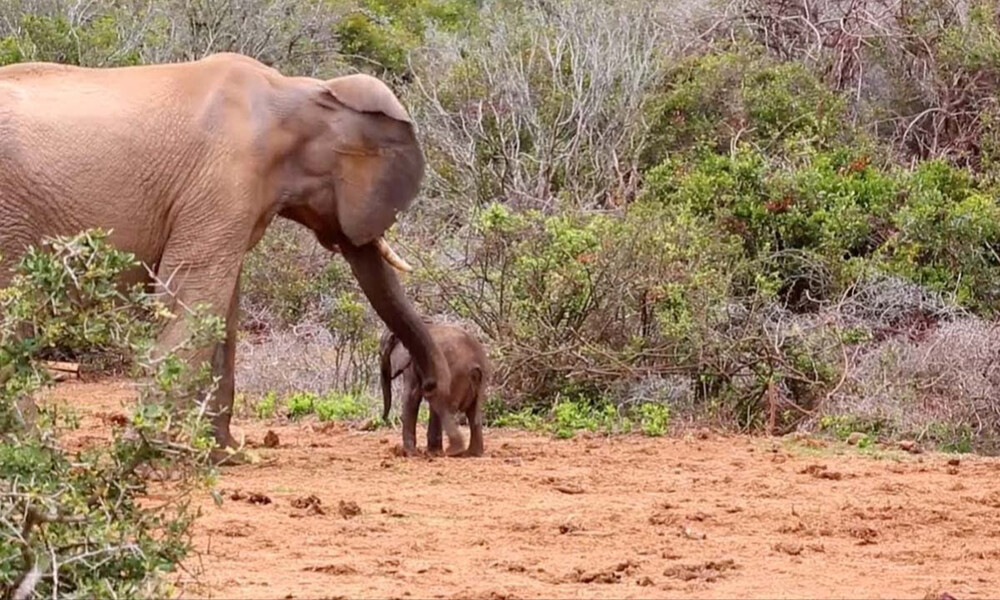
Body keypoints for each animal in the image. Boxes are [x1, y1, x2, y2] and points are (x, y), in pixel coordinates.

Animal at [0, 54, 458, 458]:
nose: (433, 388)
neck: (299, 90)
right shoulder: (224, 177)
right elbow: (194, 295)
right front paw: (150, 451)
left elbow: (223, 311)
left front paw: (226, 456)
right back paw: (35, 448)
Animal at [380, 324, 490, 454]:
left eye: (380, 353)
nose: (384, 419)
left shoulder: (412, 362)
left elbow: (412, 396)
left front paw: (410, 453)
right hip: (481, 378)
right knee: (473, 412)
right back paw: (471, 453)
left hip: (455, 375)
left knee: (446, 407)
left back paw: (453, 451)